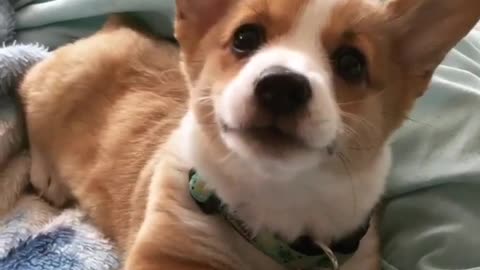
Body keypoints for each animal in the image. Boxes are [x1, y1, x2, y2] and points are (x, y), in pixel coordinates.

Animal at [19, 0, 480, 270]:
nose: (282, 86)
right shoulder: (167, 246)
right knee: (27, 98)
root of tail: (116, 25)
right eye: (246, 37)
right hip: (52, 85)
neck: (278, 194)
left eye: (351, 62)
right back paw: (48, 175)